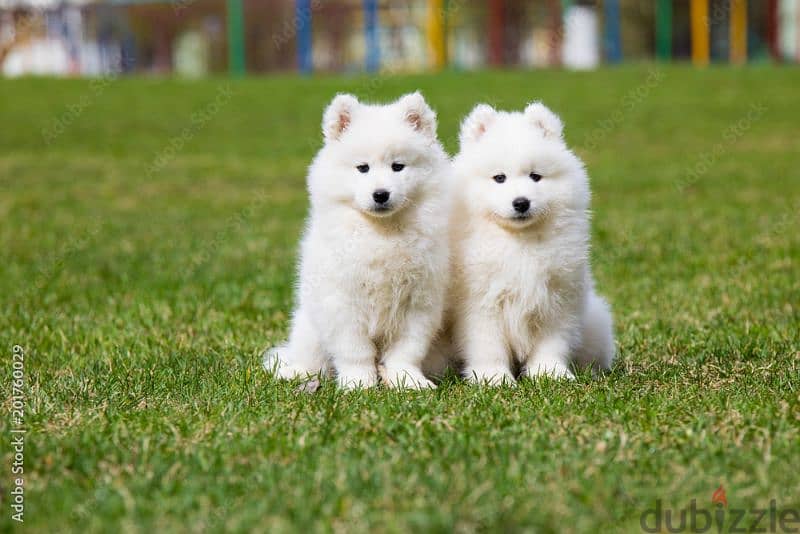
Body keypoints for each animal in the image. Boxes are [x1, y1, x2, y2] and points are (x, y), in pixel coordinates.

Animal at [262, 92, 450, 392]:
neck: (382, 232)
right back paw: (294, 372)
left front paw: (408, 380)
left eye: (398, 167)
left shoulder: (418, 303)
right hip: (309, 328)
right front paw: (359, 383)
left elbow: (406, 351)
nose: (381, 194)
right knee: (311, 360)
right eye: (363, 168)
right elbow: (355, 351)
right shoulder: (342, 303)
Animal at [446, 101, 616, 386]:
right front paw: (494, 378)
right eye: (499, 178)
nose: (521, 202)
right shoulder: (481, 303)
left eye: (535, 176)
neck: (518, 242)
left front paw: (550, 374)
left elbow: (552, 343)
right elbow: (488, 346)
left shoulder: (556, 298)